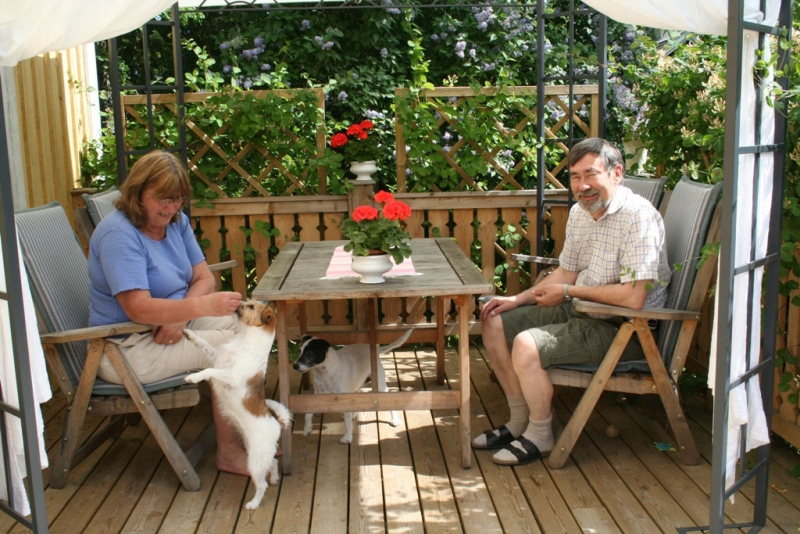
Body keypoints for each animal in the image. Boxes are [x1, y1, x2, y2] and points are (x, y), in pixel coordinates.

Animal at [184, 302, 290, 510]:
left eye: (250, 306)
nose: (237, 302)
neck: (244, 339)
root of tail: (277, 425)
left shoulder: (230, 374)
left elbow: (209, 370)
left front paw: (193, 377)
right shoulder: (216, 356)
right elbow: (203, 344)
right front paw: (188, 333)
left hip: (255, 460)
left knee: (262, 484)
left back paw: (254, 503)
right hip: (259, 454)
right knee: (273, 462)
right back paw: (274, 478)